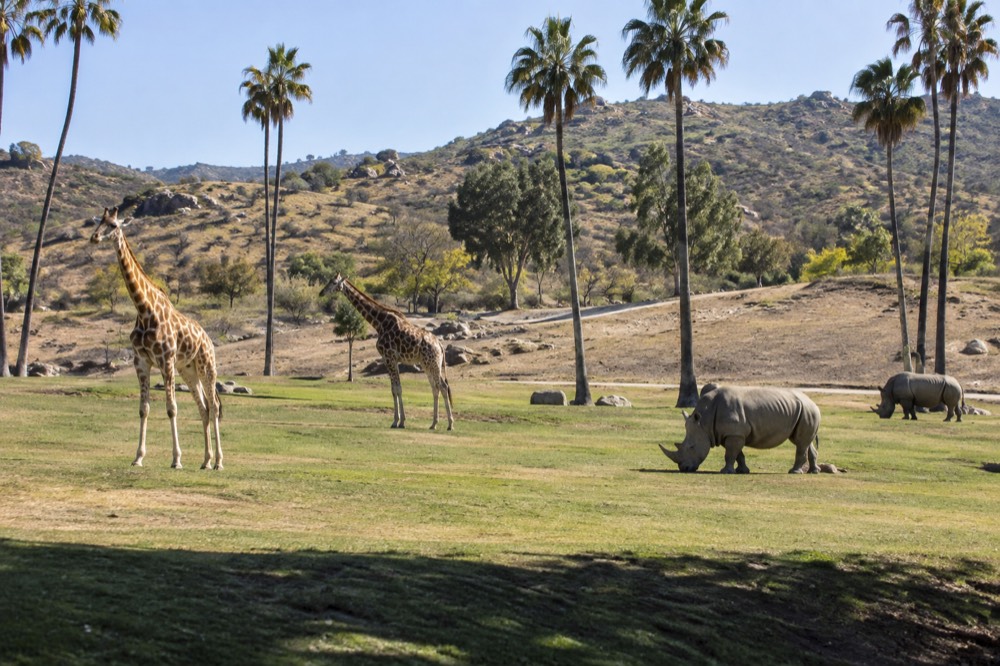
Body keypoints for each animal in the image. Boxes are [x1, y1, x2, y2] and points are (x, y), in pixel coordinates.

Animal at [90, 207, 223, 469]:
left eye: (113, 225)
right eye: (99, 222)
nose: (94, 237)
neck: (144, 310)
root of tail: (208, 339)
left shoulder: (166, 360)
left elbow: (171, 408)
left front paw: (177, 459)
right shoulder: (142, 361)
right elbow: (144, 408)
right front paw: (138, 457)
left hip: (206, 366)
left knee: (213, 406)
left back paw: (219, 462)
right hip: (188, 370)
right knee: (203, 408)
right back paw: (205, 461)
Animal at [322, 273, 454, 430]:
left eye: (333, 282)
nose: (321, 292)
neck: (379, 323)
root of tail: (439, 344)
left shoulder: (389, 357)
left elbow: (398, 389)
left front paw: (399, 421)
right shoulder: (389, 359)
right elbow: (393, 389)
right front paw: (398, 421)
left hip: (433, 363)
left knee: (443, 387)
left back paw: (450, 424)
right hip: (428, 364)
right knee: (435, 388)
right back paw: (434, 424)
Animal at [659, 385, 821, 474]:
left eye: (692, 447)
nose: (683, 468)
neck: (704, 423)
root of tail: (813, 402)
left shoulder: (734, 433)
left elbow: (730, 454)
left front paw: (725, 472)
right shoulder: (730, 433)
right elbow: (737, 454)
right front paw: (742, 471)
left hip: (807, 410)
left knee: (800, 442)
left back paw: (794, 472)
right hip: (804, 411)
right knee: (805, 441)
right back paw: (814, 472)